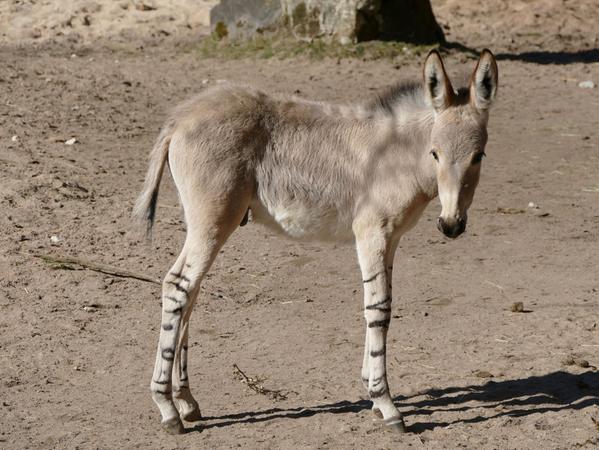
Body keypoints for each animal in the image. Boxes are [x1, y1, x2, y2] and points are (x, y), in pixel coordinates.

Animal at [136, 49, 502, 432]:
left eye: (479, 156)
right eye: (435, 153)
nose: (451, 225)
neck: (398, 158)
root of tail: (181, 118)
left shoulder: (391, 240)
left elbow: (381, 306)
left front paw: (370, 389)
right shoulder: (372, 234)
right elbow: (379, 309)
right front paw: (385, 402)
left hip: (202, 225)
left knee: (189, 293)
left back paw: (186, 401)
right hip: (212, 223)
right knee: (177, 285)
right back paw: (167, 408)